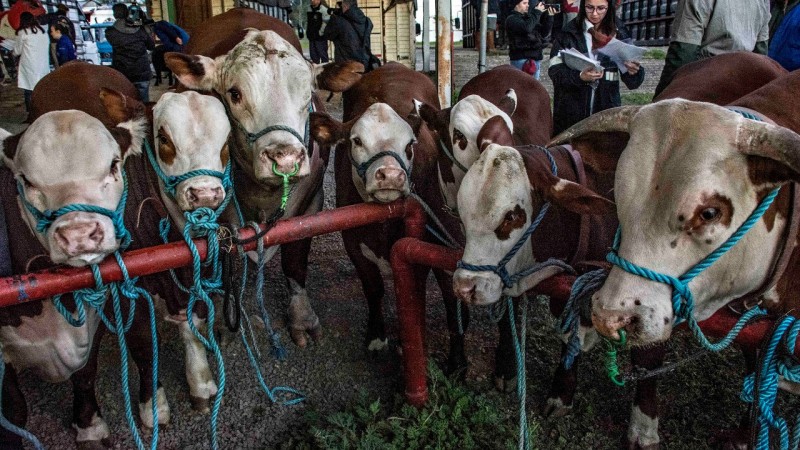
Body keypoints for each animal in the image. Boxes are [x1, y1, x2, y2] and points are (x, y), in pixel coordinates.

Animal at [167, 9, 364, 348]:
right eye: (234, 93)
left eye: (307, 94)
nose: (285, 158)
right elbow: (222, 264)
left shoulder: (312, 202)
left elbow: (295, 260)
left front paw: (302, 318)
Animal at [308, 62, 466, 372]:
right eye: (356, 141)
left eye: (410, 144)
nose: (391, 175)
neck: (381, 227)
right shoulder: (353, 243)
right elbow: (373, 289)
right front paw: (376, 337)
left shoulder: (420, 243)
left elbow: (415, 293)